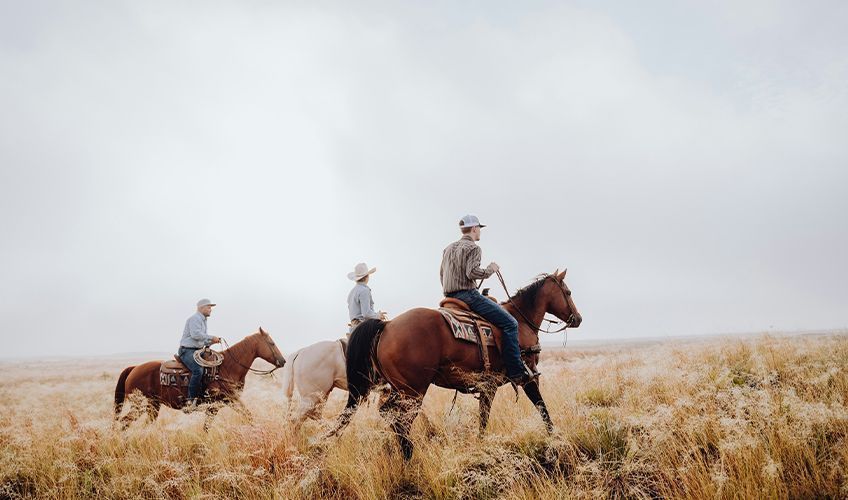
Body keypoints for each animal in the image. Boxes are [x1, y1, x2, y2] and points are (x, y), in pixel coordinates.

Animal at [114, 328, 286, 430]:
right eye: (272, 343)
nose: (283, 361)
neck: (227, 367)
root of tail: (134, 368)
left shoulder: (226, 402)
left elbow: (247, 416)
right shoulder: (219, 404)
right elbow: (209, 427)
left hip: (153, 404)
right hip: (138, 405)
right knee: (124, 422)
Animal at [328, 270, 580, 458]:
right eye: (567, 291)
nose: (578, 318)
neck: (520, 321)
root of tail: (387, 325)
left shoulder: (487, 386)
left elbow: (483, 418)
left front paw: (480, 444)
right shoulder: (528, 376)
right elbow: (541, 407)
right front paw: (555, 437)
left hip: (399, 388)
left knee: (388, 414)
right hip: (413, 391)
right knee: (399, 418)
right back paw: (409, 455)